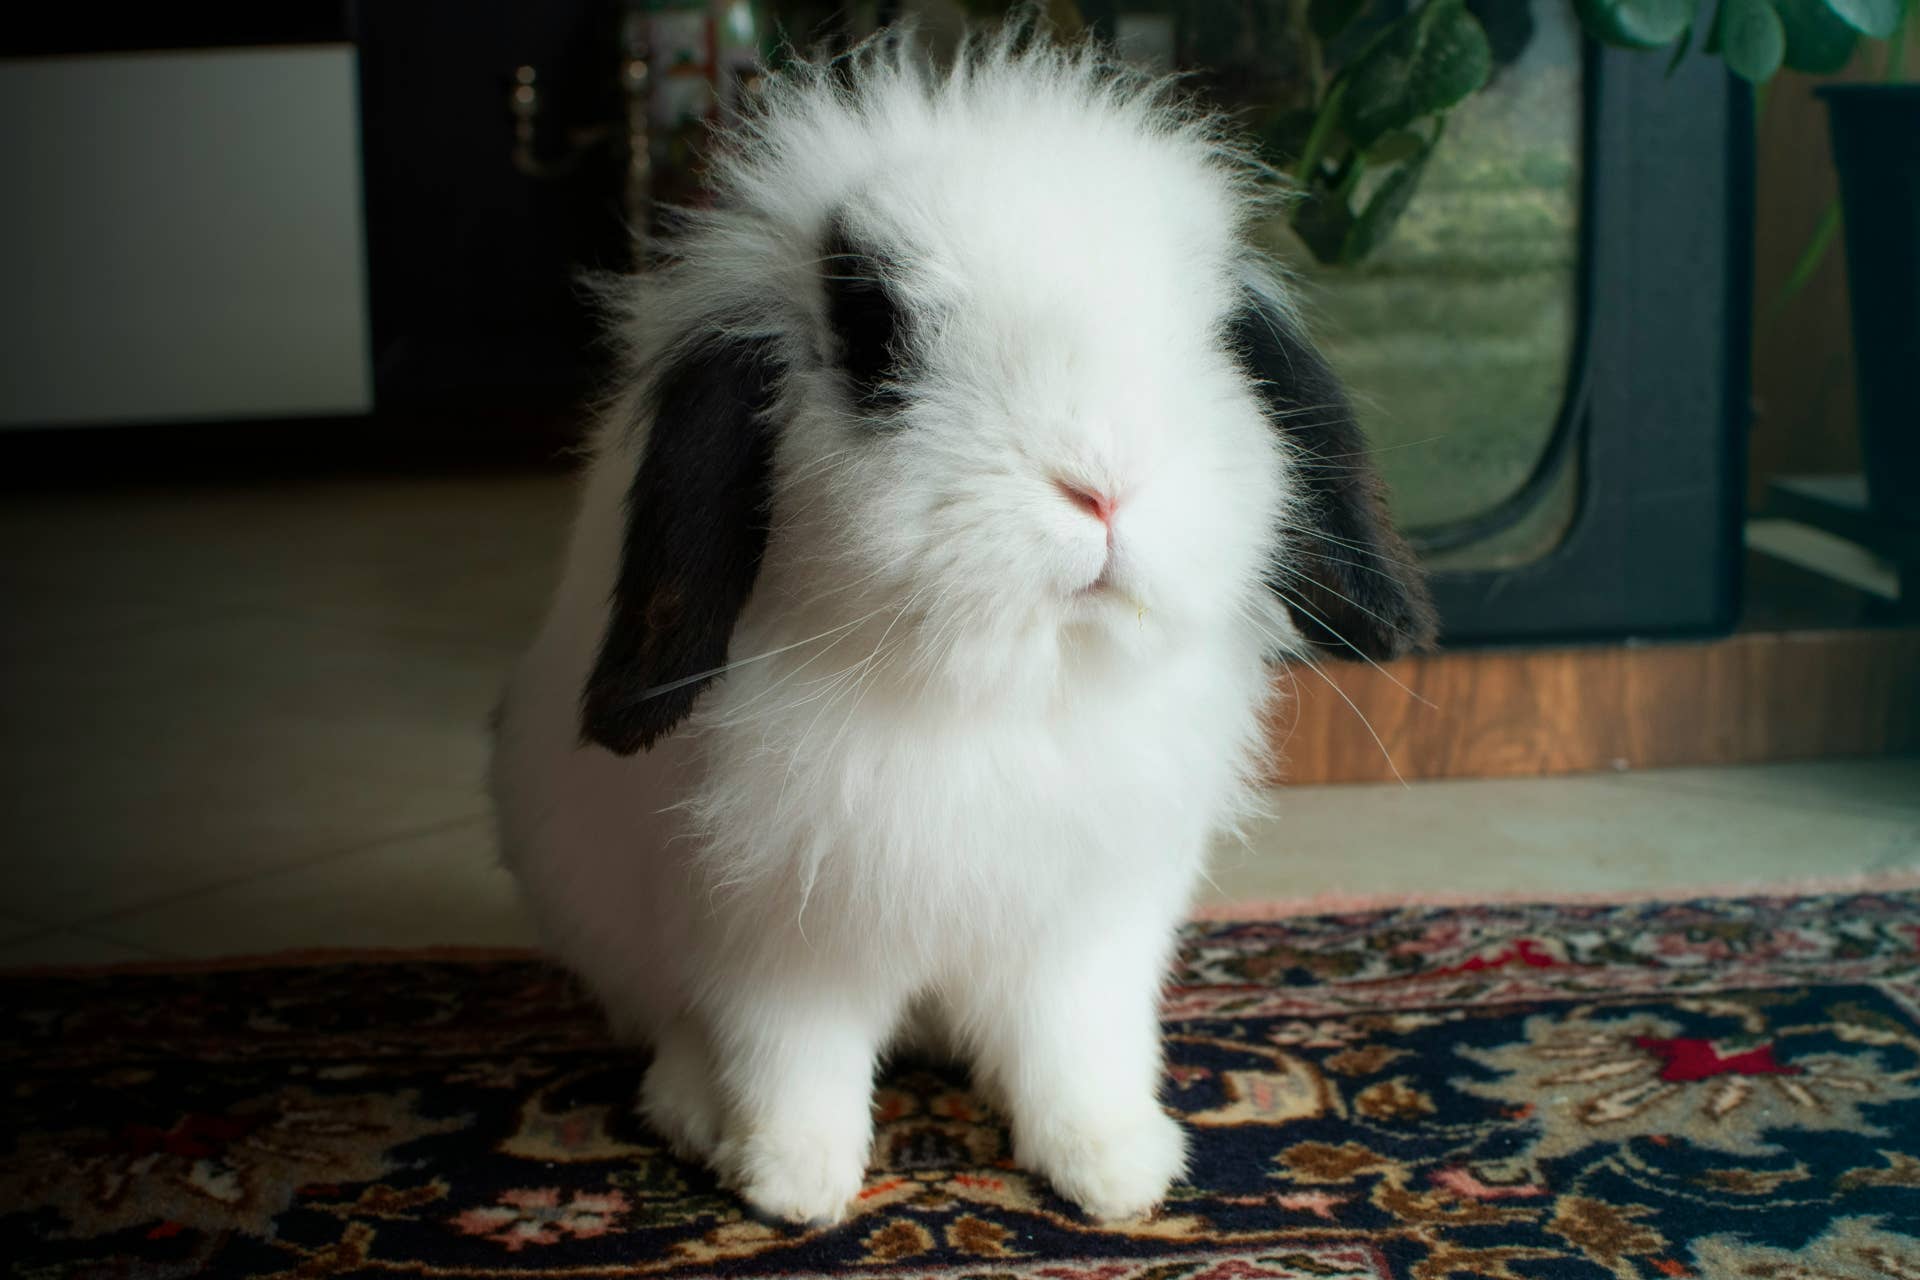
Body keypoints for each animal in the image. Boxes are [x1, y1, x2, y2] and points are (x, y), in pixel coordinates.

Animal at [488, 26, 1435, 1228]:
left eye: (1212, 338)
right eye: (876, 342)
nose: (1101, 483)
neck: (1009, 691)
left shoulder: (1090, 930)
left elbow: (1079, 1050)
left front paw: (1119, 1170)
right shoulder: (775, 936)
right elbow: (792, 1058)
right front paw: (795, 1187)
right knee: (679, 1029)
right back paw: (699, 1116)